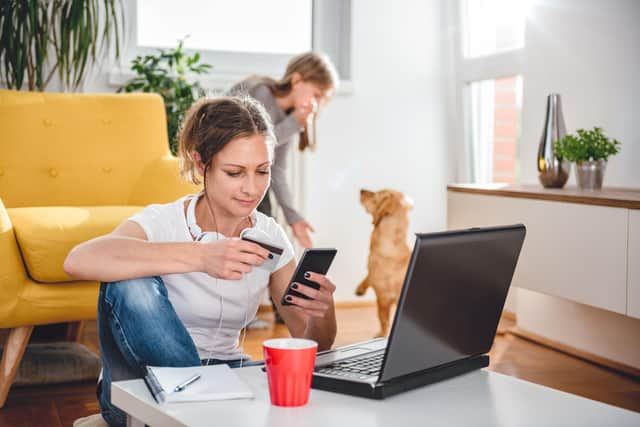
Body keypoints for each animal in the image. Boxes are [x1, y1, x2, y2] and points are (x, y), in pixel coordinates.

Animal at [358, 190, 412, 338]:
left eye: (375, 194)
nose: (361, 190)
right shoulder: (382, 295)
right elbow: (383, 320)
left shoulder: (384, 297)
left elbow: (384, 320)